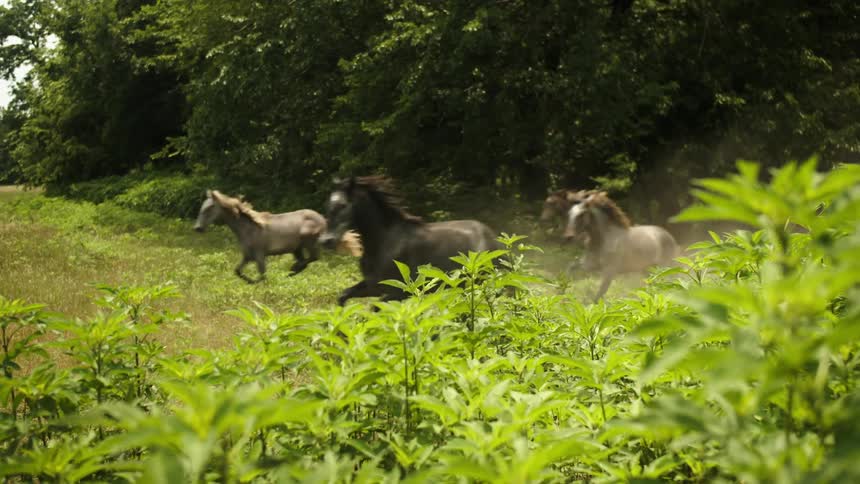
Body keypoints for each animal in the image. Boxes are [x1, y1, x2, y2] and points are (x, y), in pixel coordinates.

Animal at [193, 190, 362, 283]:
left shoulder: (260, 255)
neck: (247, 228)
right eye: (202, 206)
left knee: (313, 258)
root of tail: (323, 219)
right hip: (296, 248)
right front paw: (250, 282)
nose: (198, 228)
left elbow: (263, 276)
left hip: (308, 241)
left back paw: (292, 269)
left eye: (209, 208)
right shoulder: (247, 256)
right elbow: (238, 271)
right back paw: (291, 272)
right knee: (306, 260)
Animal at [317, 176, 502, 306]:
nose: (326, 240)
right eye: (328, 205)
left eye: (342, 205)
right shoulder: (373, 286)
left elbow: (376, 309)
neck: (384, 241)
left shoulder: (400, 292)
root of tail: (493, 237)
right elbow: (343, 296)